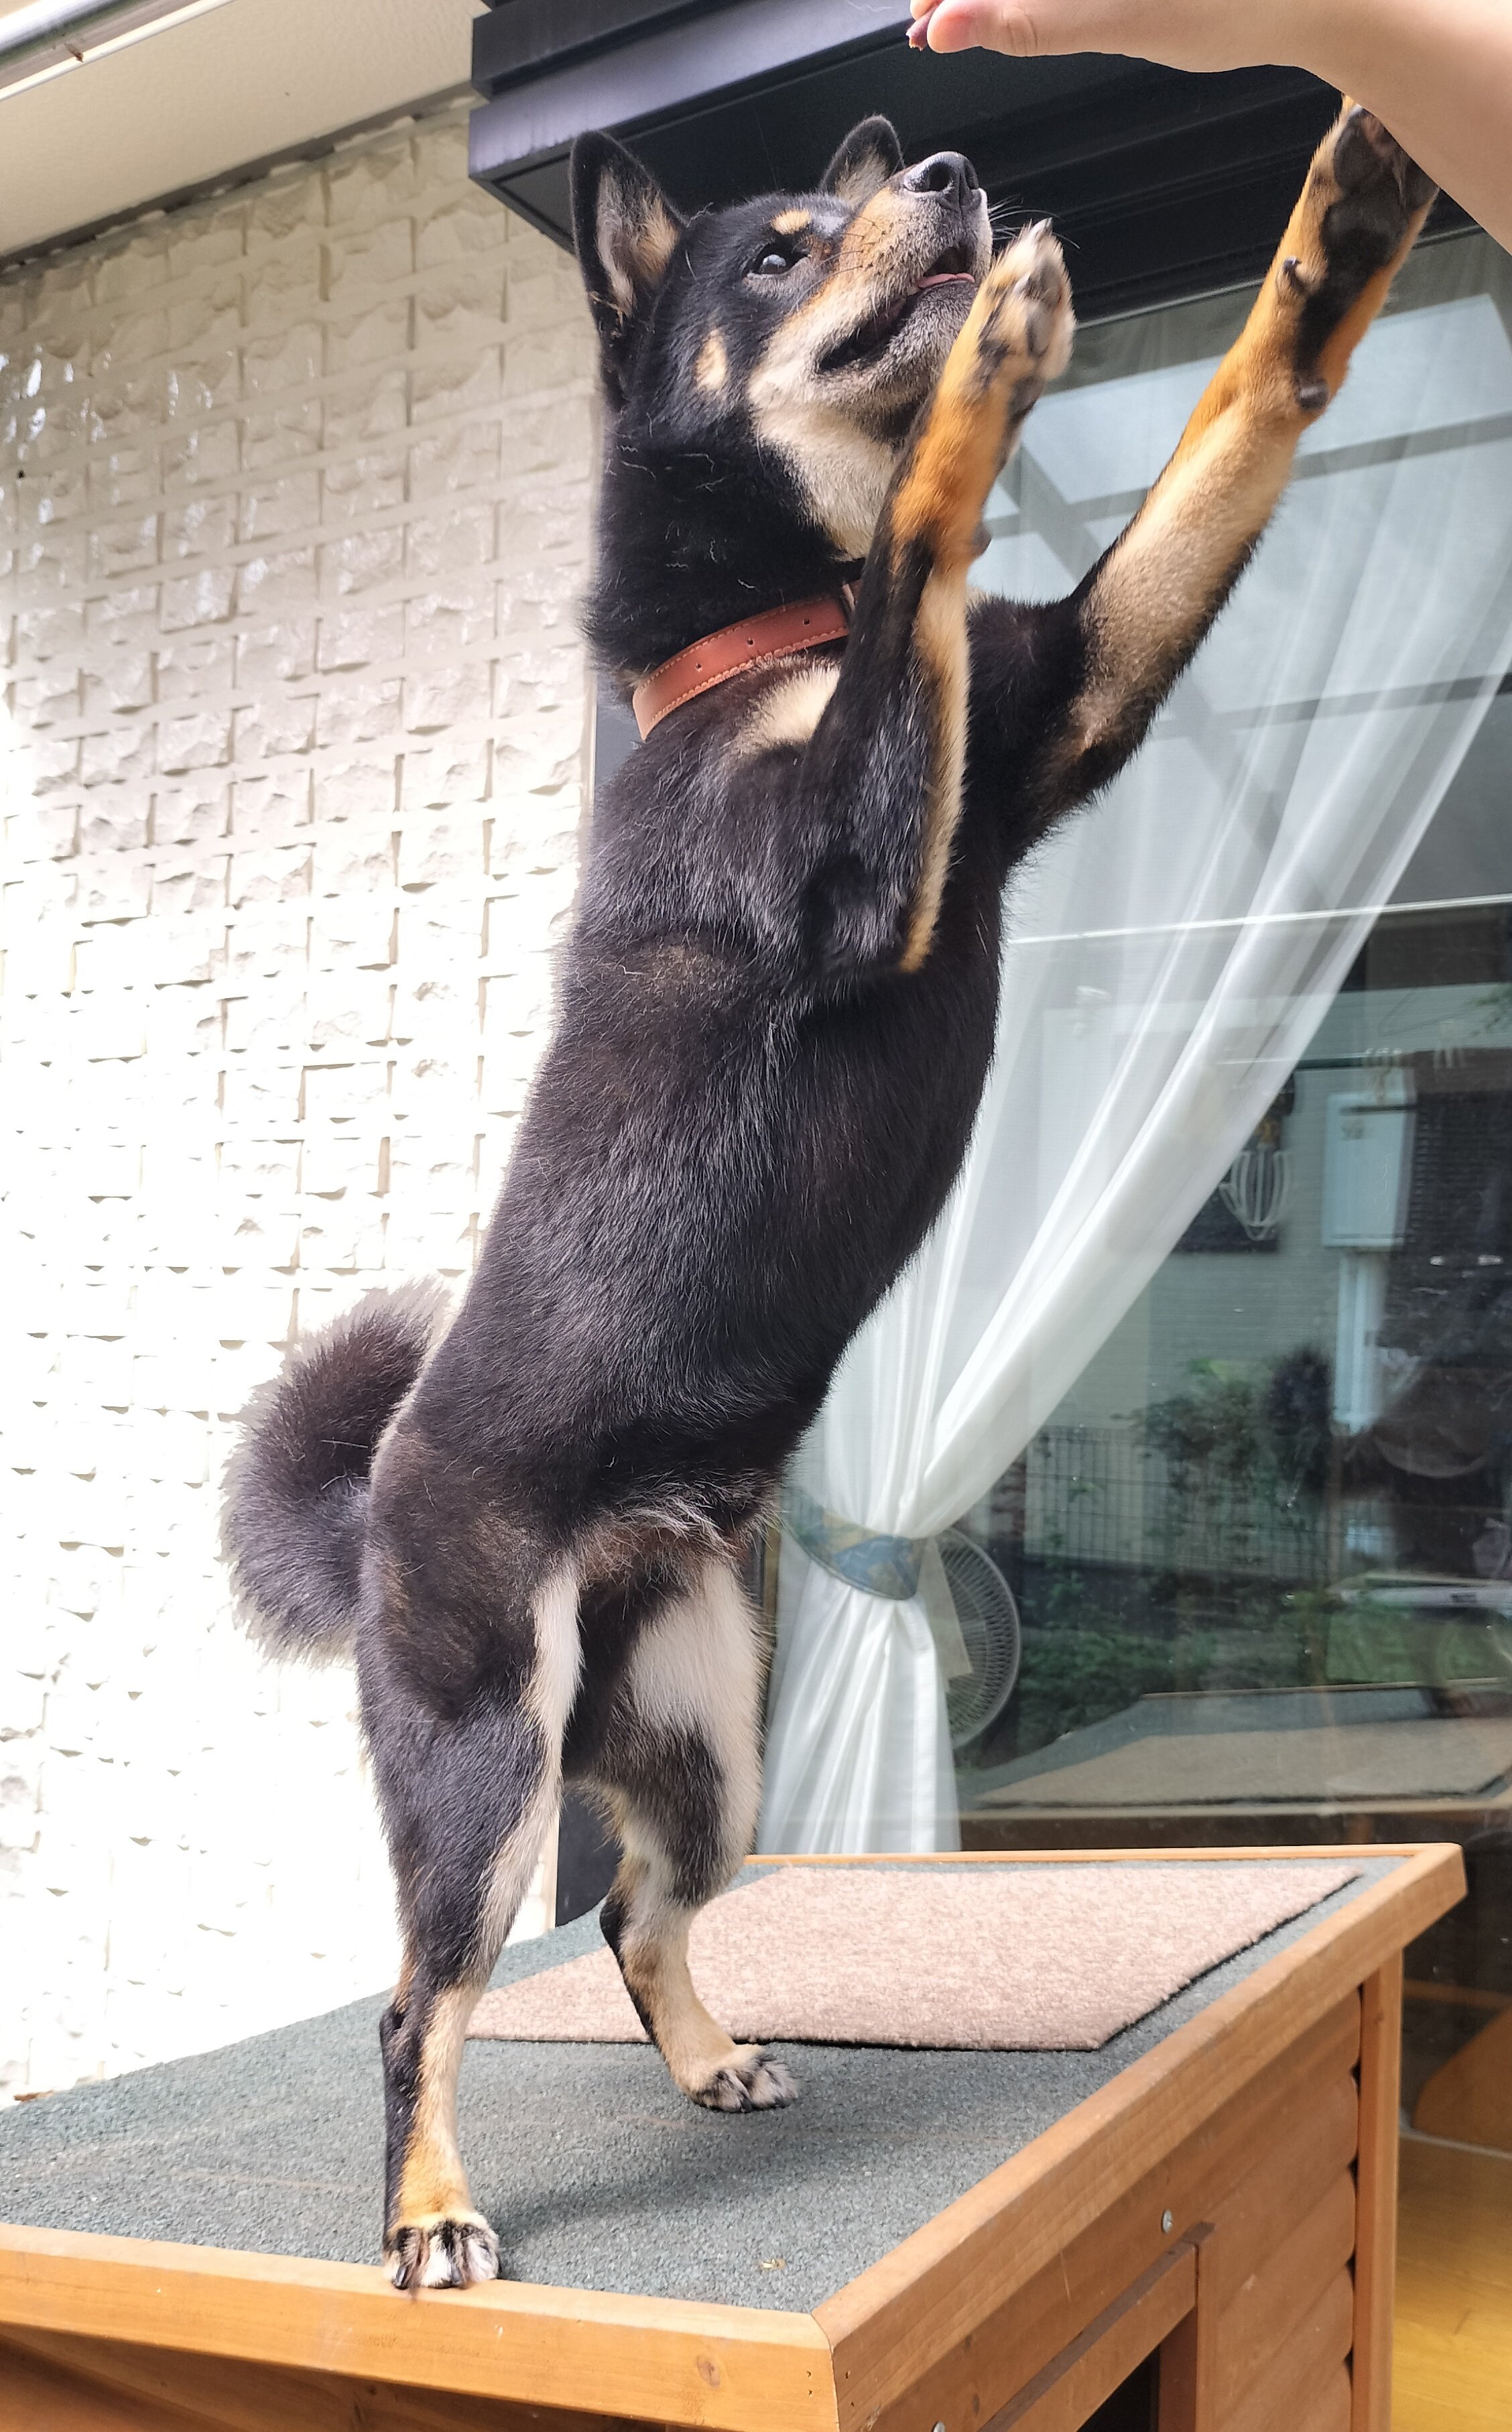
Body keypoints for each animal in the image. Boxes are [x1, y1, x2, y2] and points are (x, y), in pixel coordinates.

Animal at [223, 103, 1433, 2288]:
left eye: (852, 196)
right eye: (781, 247)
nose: (950, 173)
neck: (765, 636)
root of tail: (376, 1515)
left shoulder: (1067, 692)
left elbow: (1241, 408)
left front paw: (1344, 217)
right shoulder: (873, 855)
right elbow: (927, 554)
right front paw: (984, 380)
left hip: (708, 1735)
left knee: (637, 1910)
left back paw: (709, 2055)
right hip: (484, 1753)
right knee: (417, 2000)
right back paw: (429, 2208)